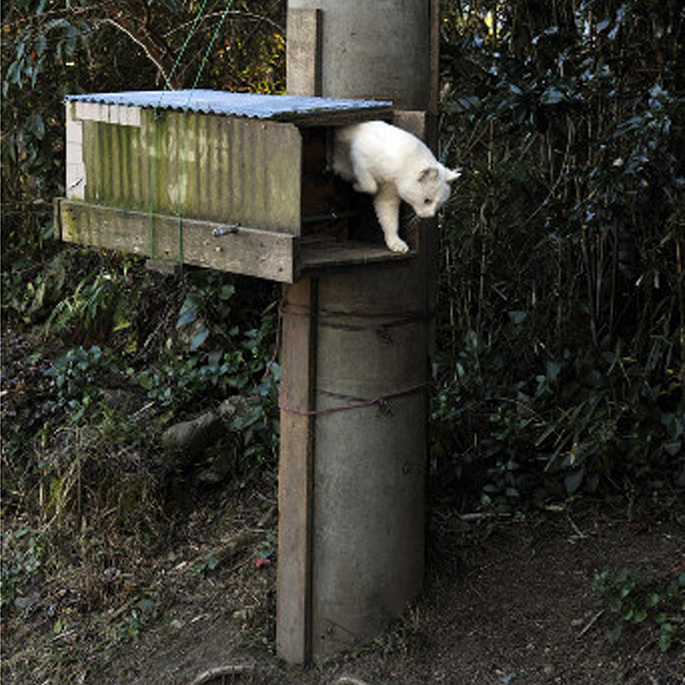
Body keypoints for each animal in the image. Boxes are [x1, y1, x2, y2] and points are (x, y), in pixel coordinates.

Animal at [332, 121, 460, 252]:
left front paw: (395, 242)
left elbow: (390, 221)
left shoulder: (388, 197)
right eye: (427, 201)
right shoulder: (358, 154)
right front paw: (356, 185)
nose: (431, 215)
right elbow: (370, 185)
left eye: (439, 205)